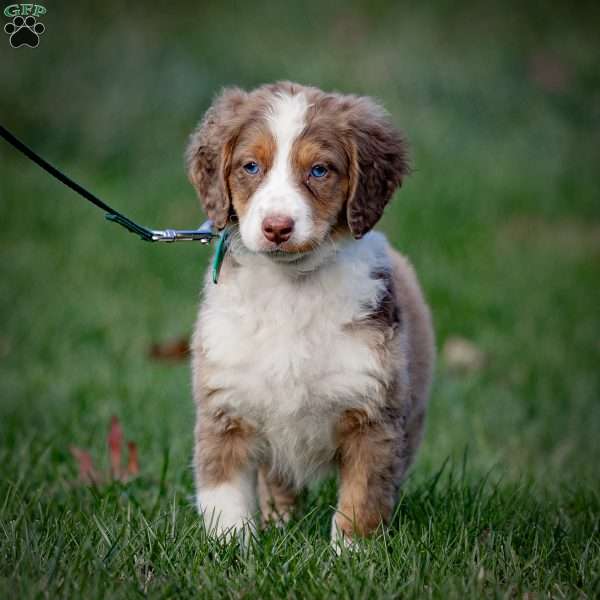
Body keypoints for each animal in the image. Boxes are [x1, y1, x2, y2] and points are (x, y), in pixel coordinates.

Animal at [185, 81, 434, 548]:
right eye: (250, 166)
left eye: (319, 170)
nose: (277, 227)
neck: (291, 289)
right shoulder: (226, 407)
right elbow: (225, 496)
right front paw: (231, 549)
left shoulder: (373, 414)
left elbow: (362, 498)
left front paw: (350, 555)